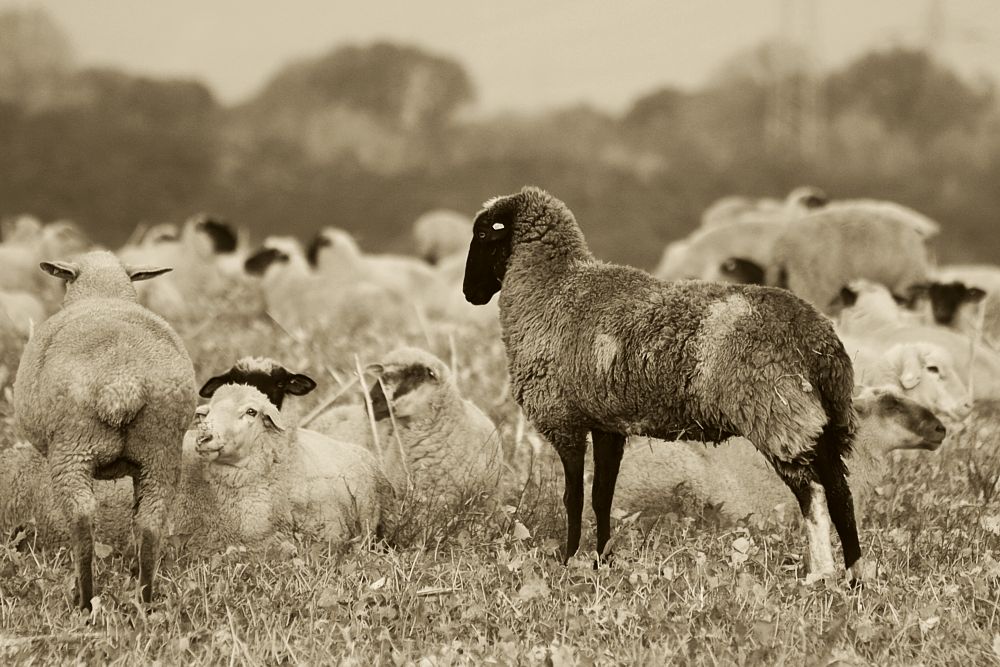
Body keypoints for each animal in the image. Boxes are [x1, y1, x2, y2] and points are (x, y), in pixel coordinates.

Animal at [13, 252, 196, 612]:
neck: (104, 293)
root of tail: (122, 381)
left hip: (72, 448)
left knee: (82, 519)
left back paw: (84, 601)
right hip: (161, 451)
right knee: (150, 523)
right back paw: (144, 598)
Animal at [464, 185, 864, 580]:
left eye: (482, 234)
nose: (470, 294)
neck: (551, 286)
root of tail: (816, 338)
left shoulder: (564, 419)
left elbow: (572, 497)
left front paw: (569, 558)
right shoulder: (607, 423)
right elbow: (601, 496)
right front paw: (601, 560)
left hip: (776, 413)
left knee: (813, 492)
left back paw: (823, 572)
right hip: (823, 416)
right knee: (840, 491)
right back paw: (854, 573)